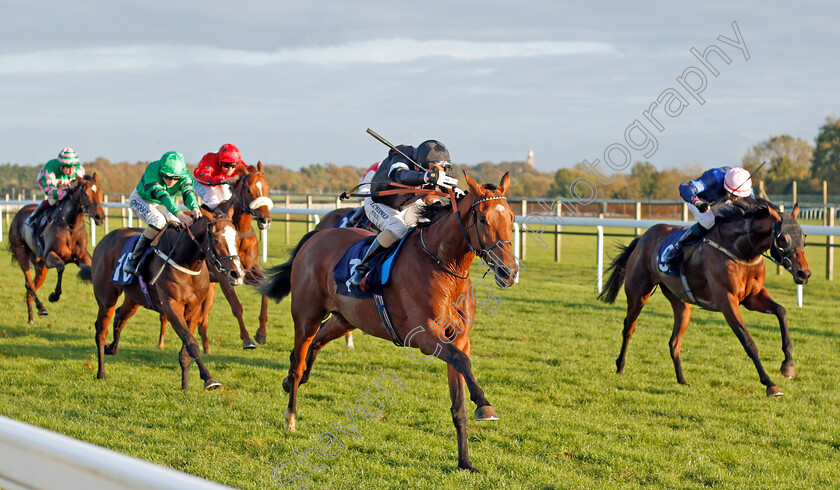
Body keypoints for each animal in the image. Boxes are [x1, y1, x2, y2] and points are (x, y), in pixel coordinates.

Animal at [8, 174, 105, 324]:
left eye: (100, 192)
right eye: (85, 194)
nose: (100, 217)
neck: (70, 226)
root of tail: (18, 214)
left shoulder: (82, 256)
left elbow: (90, 271)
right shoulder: (49, 256)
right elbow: (61, 266)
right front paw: (54, 295)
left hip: (41, 266)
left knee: (33, 285)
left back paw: (31, 317)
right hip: (21, 253)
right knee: (29, 283)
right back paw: (41, 307)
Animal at [83, 205, 244, 392]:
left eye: (236, 238)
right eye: (217, 240)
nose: (236, 273)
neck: (186, 262)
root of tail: (106, 239)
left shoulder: (194, 308)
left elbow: (186, 349)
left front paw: (185, 386)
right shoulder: (171, 307)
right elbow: (191, 343)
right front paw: (209, 379)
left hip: (134, 298)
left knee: (120, 317)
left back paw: (112, 348)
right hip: (106, 298)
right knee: (101, 330)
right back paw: (101, 372)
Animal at [156, 164, 274, 352]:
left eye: (268, 188)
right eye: (249, 190)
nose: (266, 219)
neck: (239, 231)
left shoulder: (247, 270)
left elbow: (265, 291)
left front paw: (261, 333)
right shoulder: (224, 274)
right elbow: (236, 306)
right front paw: (247, 339)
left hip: (209, 287)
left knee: (202, 320)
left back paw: (206, 348)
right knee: (167, 314)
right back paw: (160, 342)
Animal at [260, 171, 520, 470]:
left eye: (511, 217)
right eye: (483, 219)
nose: (509, 272)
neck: (443, 265)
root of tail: (317, 236)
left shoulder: (459, 338)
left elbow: (459, 402)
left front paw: (465, 461)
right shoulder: (425, 337)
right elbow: (462, 362)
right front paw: (485, 405)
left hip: (344, 319)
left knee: (312, 348)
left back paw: (294, 381)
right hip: (307, 316)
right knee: (298, 359)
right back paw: (290, 415)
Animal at [600, 198, 812, 394]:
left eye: (804, 235)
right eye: (783, 238)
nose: (804, 273)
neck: (740, 250)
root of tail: (643, 237)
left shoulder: (753, 297)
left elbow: (781, 311)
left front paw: (788, 365)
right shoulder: (727, 301)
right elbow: (748, 342)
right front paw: (769, 384)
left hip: (681, 303)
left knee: (674, 342)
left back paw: (682, 379)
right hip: (639, 293)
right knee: (629, 328)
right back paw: (620, 366)